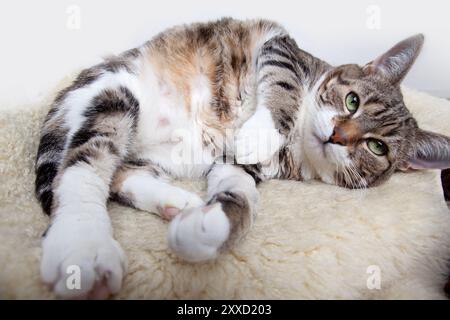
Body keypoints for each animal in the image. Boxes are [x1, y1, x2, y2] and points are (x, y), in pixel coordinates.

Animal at [34, 16, 450, 298]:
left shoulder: (243, 166)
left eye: (377, 147)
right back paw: (83, 246)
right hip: (116, 95)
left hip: (154, 153)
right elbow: (283, 81)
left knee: (121, 176)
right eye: (352, 101)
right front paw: (260, 131)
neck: (299, 140)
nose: (338, 135)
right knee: (82, 169)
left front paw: (208, 227)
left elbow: (240, 192)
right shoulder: (282, 48)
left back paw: (178, 203)